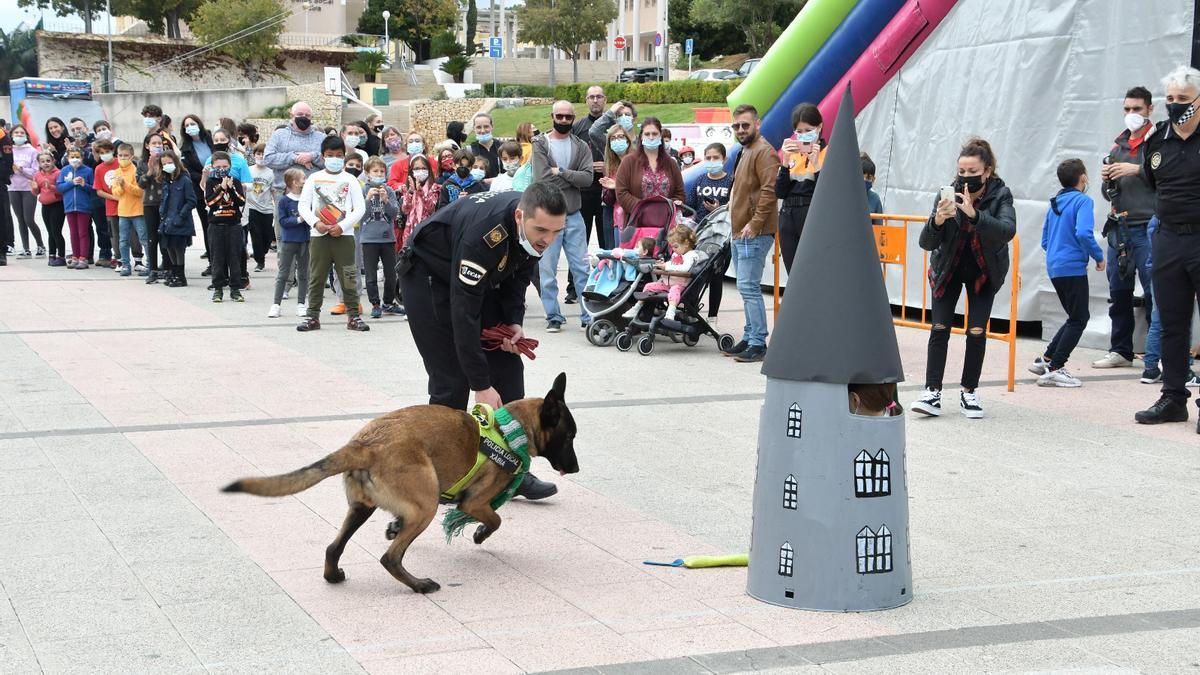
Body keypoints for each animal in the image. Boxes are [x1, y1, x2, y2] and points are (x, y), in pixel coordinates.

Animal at [226, 372, 583, 588]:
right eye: (569, 438)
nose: (577, 468)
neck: (510, 430)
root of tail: (364, 444)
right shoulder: (475, 502)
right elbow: (495, 520)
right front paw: (480, 534)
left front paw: (394, 525)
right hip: (425, 506)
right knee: (390, 557)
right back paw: (420, 586)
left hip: (361, 508)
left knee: (332, 547)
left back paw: (335, 575)